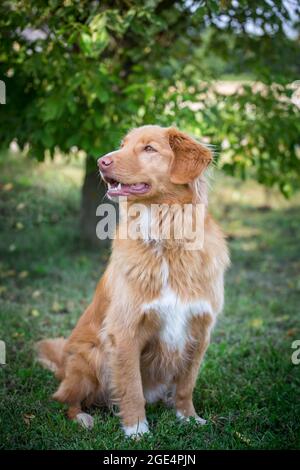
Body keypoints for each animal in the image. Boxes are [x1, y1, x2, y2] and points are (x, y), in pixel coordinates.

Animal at [37, 124, 230, 436]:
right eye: (123, 145)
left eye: (149, 148)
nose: (100, 162)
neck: (167, 237)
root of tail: (63, 364)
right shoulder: (124, 331)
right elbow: (131, 387)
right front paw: (137, 429)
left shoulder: (200, 329)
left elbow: (186, 385)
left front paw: (188, 417)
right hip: (88, 358)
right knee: (66, 399)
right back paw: (83, 417)